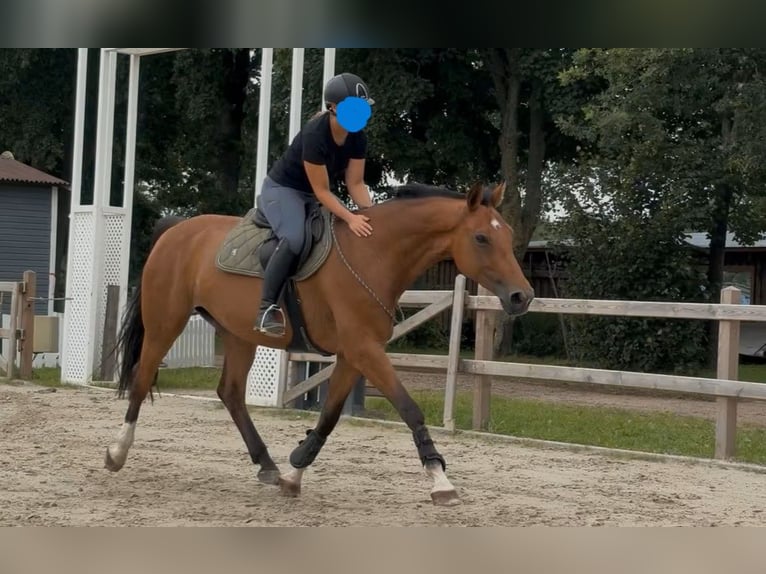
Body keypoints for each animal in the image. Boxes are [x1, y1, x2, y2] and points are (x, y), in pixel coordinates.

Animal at [105, 180, 534, 506]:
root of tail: (177, 230)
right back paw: (117, 452)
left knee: (230, 393)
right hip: (166, 323)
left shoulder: (352, 355)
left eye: (508, 235)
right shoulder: (364, 349)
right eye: (481, 237)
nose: (522, 297)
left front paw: (294, 471)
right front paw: (440, 480)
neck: (374, 254)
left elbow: (328, 417)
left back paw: (267, 464)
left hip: (239, 334)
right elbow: (409, 409)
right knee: (142, 380)